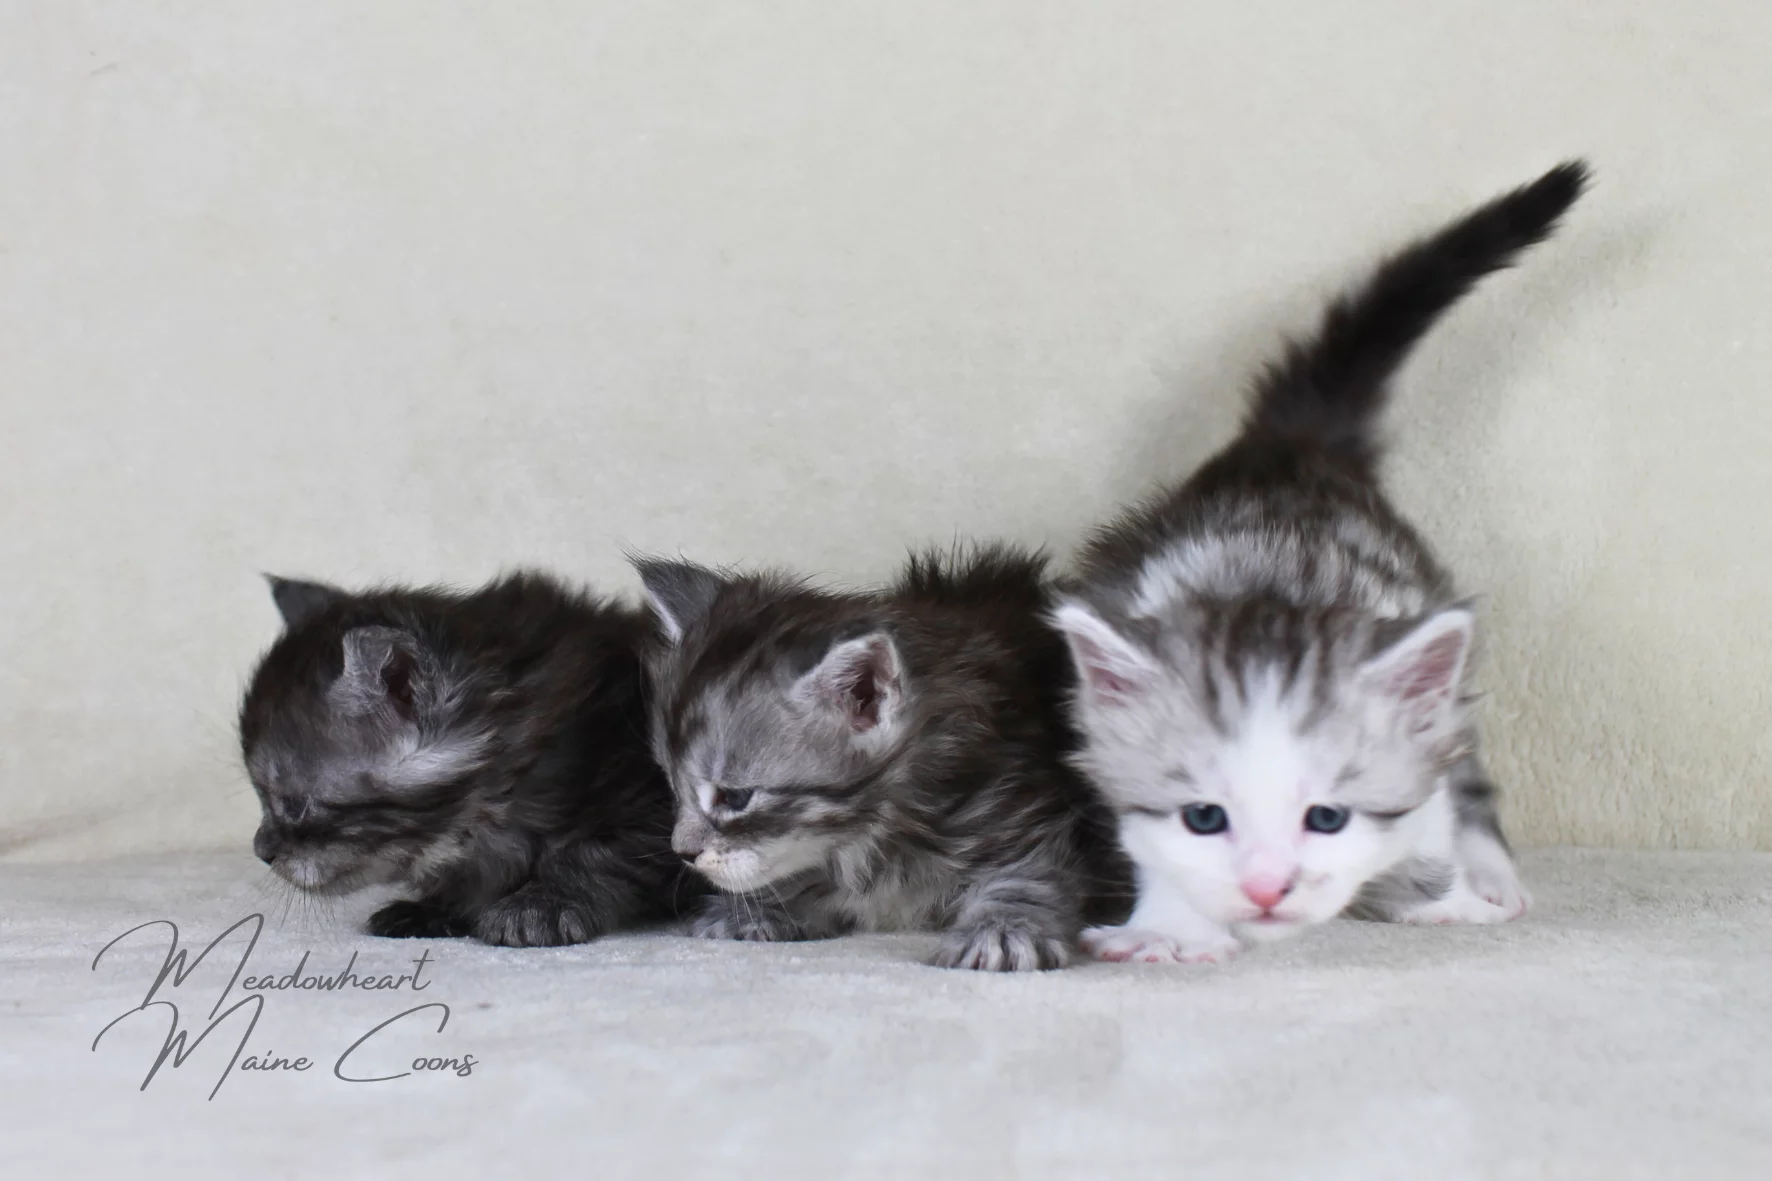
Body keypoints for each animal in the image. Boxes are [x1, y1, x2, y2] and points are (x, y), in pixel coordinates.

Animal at [239, 571, 694, 946]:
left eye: (294, 805)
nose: (262, 851)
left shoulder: (647, 802)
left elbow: (595, 854)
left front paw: (542, 903)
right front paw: (437, 908)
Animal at [633, 545, 1131, 971]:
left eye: (734, 798)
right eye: (672, 786)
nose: (683, 852)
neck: (869, 836)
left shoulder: (1021, 813)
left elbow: (1028, 877)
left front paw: (1003, 931)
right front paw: (762, 908)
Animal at [1050, 161, 1589, 964]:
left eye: (1326, 817)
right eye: (1205, 817)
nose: (1268, 887)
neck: (1270, 581)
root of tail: (1293, 443)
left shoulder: (1415, 725)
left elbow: (1427, 806)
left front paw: (1445, 896)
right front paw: (1168, 930)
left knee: (1467, 773)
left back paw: (1491, 872)